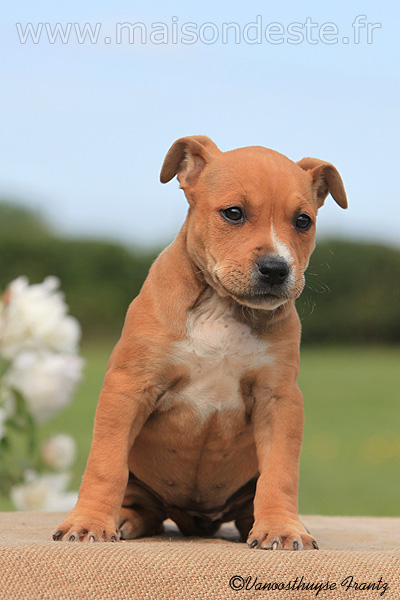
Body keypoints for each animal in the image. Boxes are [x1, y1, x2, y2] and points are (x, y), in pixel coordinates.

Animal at [53, 138, 346, 552]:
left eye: (303, 221)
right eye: (234, 213)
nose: (276, 269)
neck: (221, 306)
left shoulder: (280, 399)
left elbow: (281, 472)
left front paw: (282, 527)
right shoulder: (129, 387)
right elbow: (105, 464)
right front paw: (88, 523)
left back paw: (260, 523)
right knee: (140, 501)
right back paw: (124, 519)